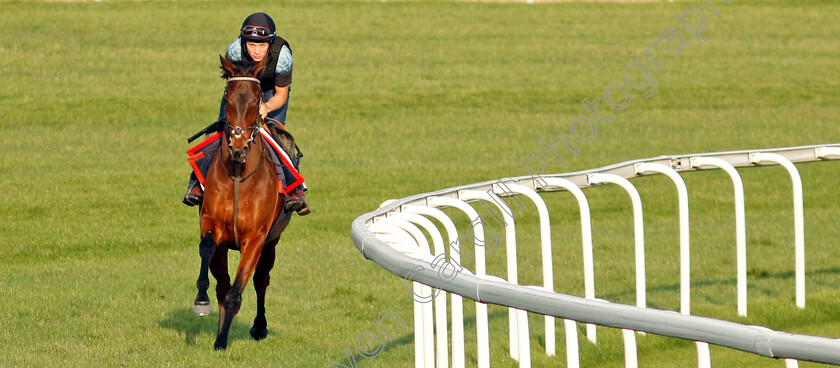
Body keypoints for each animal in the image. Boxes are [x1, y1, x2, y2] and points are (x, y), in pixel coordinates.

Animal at [193, 55, 292, 350]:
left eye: (257, 98)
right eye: (228, 96)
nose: (237, 148)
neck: (238, 173)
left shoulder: (256, 237)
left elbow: (237, 291)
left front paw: (222, 340)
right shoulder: (211, 223)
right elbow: (207, 252)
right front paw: (201, 302)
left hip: (272, 242)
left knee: (261, 281)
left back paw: (259, 326)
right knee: (223, 284)